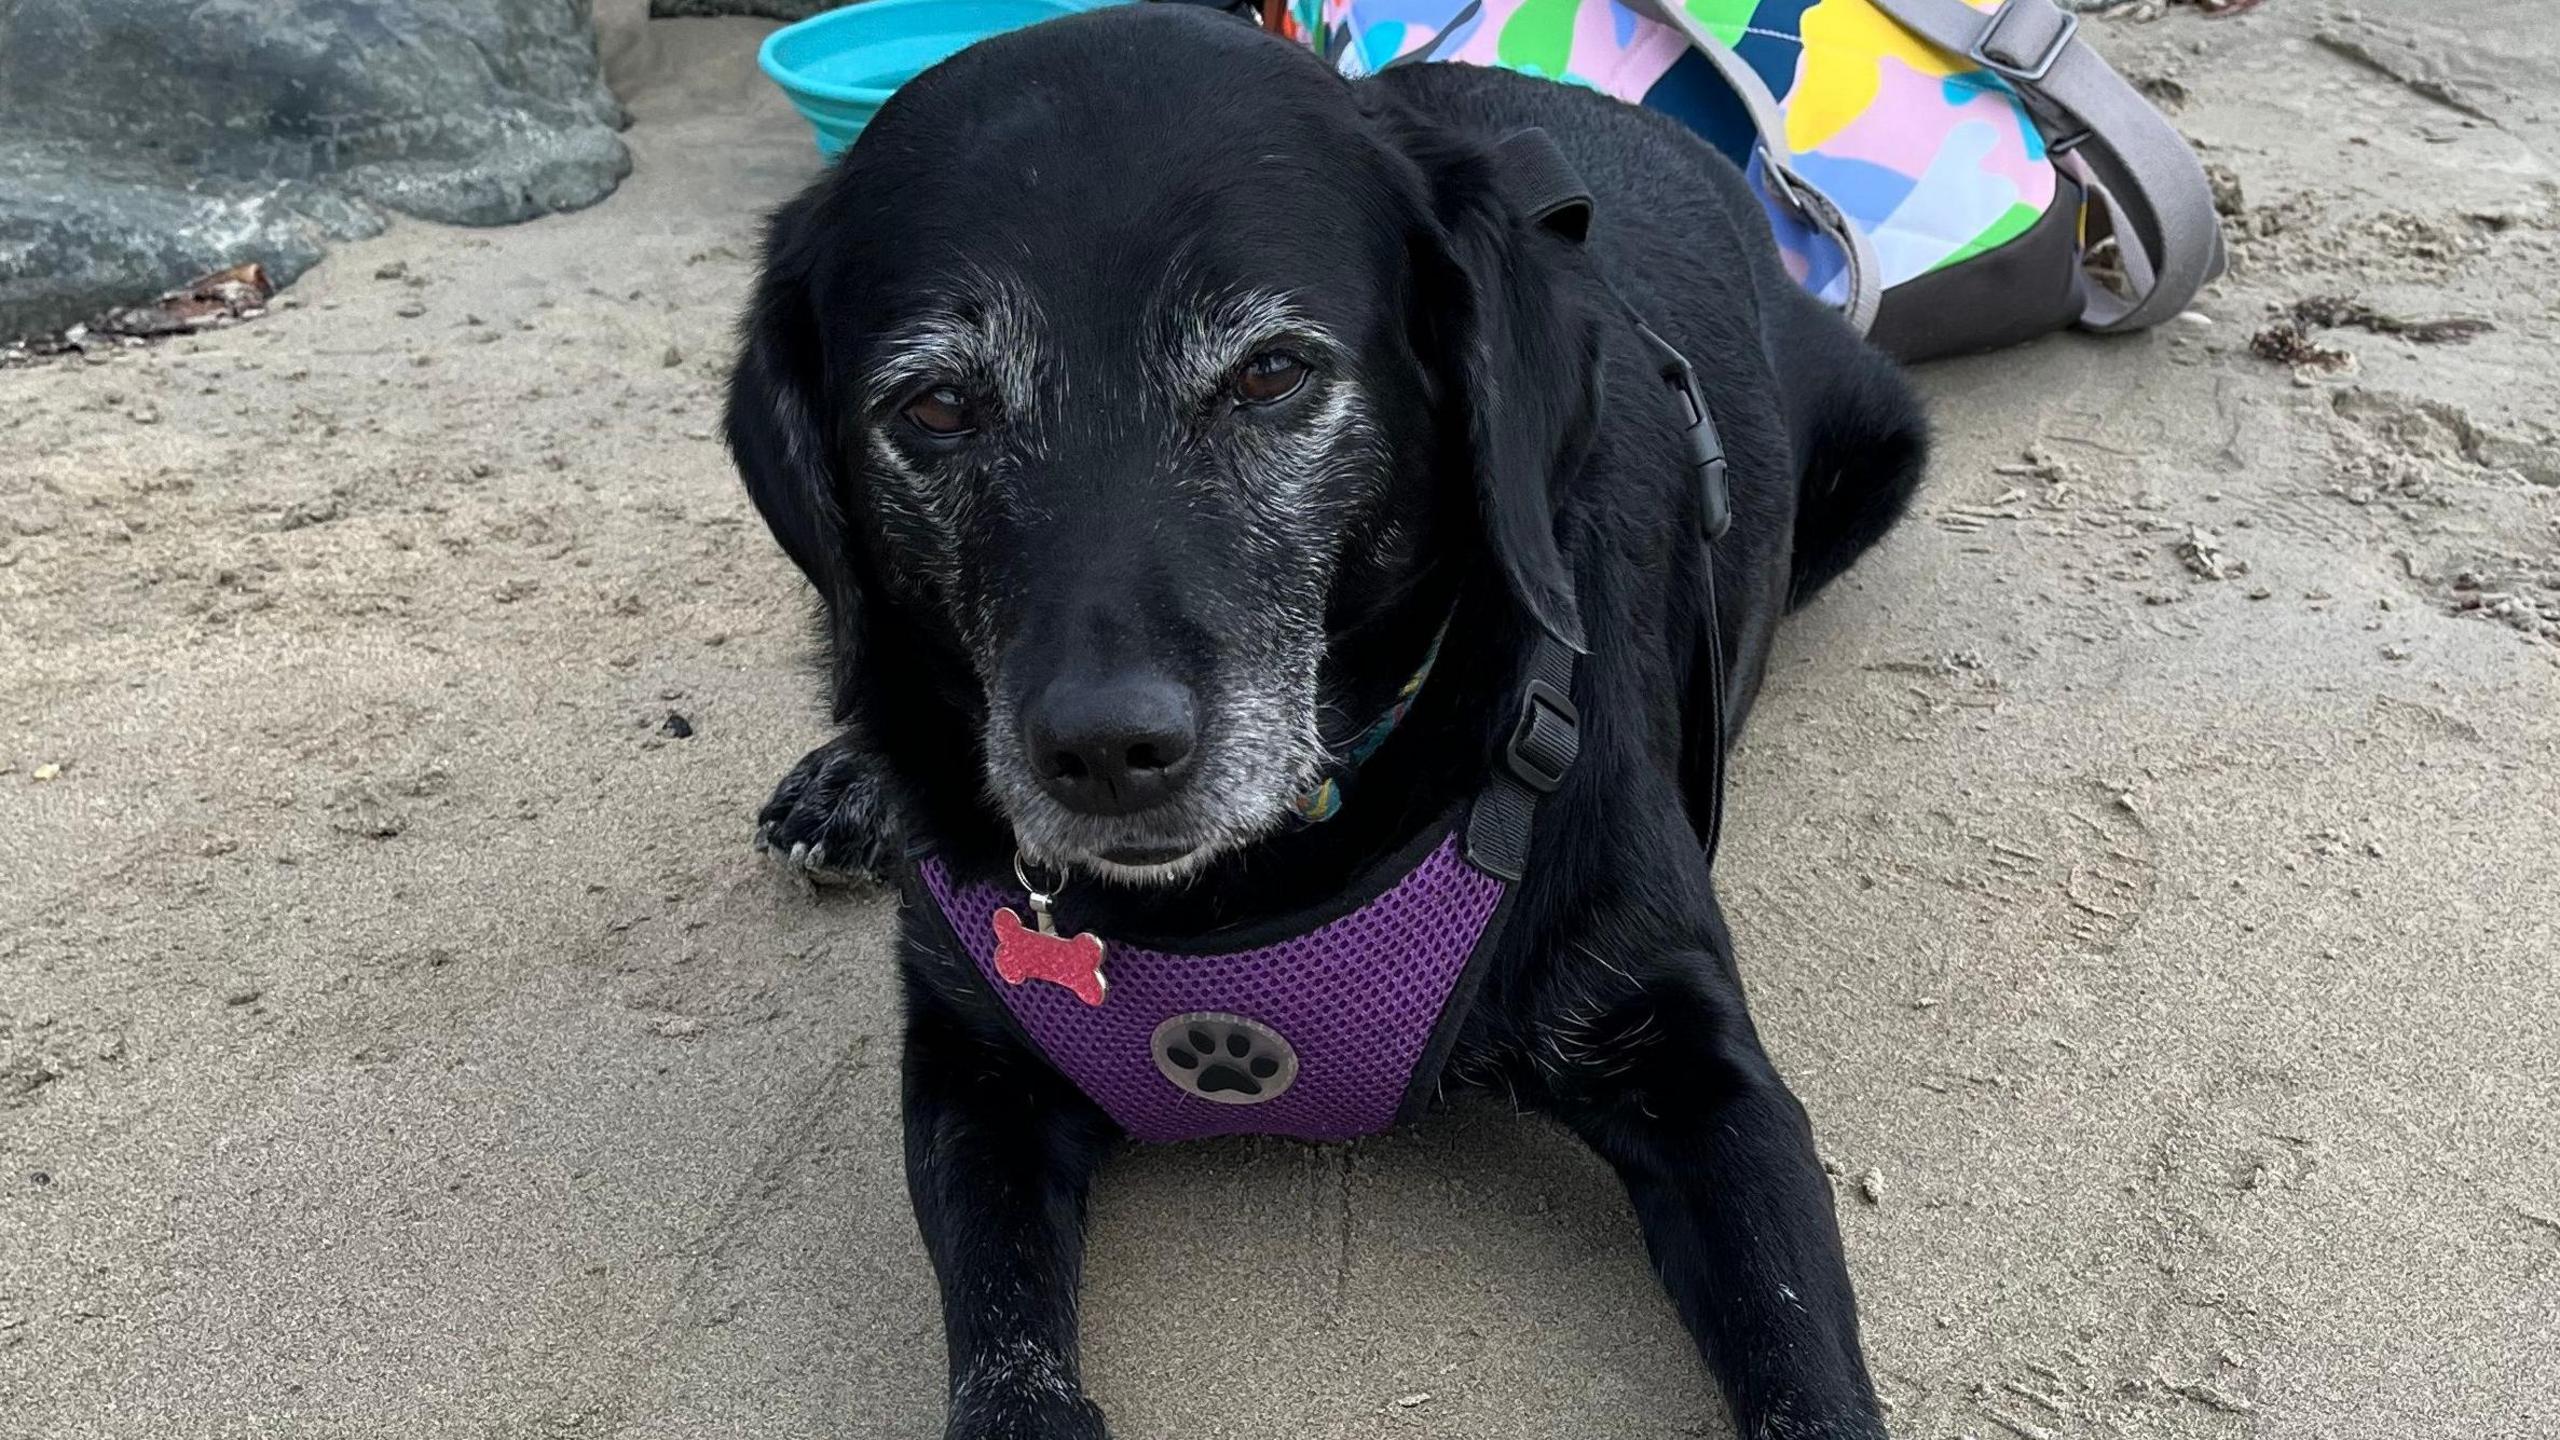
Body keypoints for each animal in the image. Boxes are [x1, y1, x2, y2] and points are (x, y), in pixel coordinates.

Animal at [721, 5, 1925, 1424]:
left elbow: (1802, 1363)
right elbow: (1005, 1352)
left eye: (1272, 374)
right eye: (938, 406)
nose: (1107, 753)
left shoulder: (1702, 1073)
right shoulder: (971, 1075)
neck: (1247, 893)